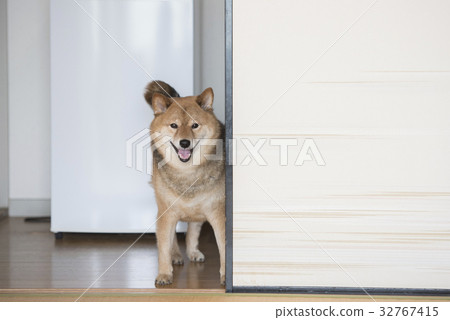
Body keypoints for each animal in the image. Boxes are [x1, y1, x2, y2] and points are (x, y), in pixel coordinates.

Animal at [145, 80, 225, 284]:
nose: (184, 143)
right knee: (173, 236)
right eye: (174, 125)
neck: (187, 172)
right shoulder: (166, 213)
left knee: (192, 231)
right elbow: (163, 246)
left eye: (194, 125)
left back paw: (193, 252)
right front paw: (164, 274)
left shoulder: (218, 213)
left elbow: (223, 245)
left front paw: (225, 276)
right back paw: (176, 255)